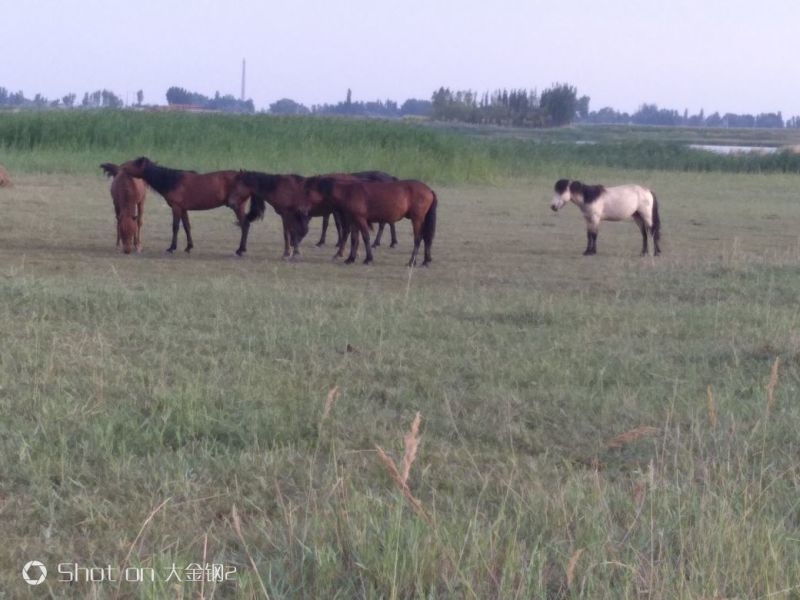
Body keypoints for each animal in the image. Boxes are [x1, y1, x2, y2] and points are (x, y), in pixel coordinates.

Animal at [119, 156, 252, 255]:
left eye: (134, 163)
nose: (121, 167)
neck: (172, 181)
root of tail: (243, 176)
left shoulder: (176, 208)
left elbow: (175, 227)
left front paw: (172, 248)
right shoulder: (183, 209)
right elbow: (187, 227)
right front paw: (189, 247)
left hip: (237, 206)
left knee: (245, 224)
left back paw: (240, 250)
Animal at [305, 177, 437, 266]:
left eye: (309, 191)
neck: (348, 192)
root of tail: (429, 190)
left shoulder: (360, 219)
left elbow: (365, 237)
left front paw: (368, 259)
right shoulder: (354, 221)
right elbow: (354, 239)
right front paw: (350, 259)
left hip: (417, 219)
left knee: (418, 239)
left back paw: (411, 262)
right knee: (426, 238)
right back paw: (426, 261)